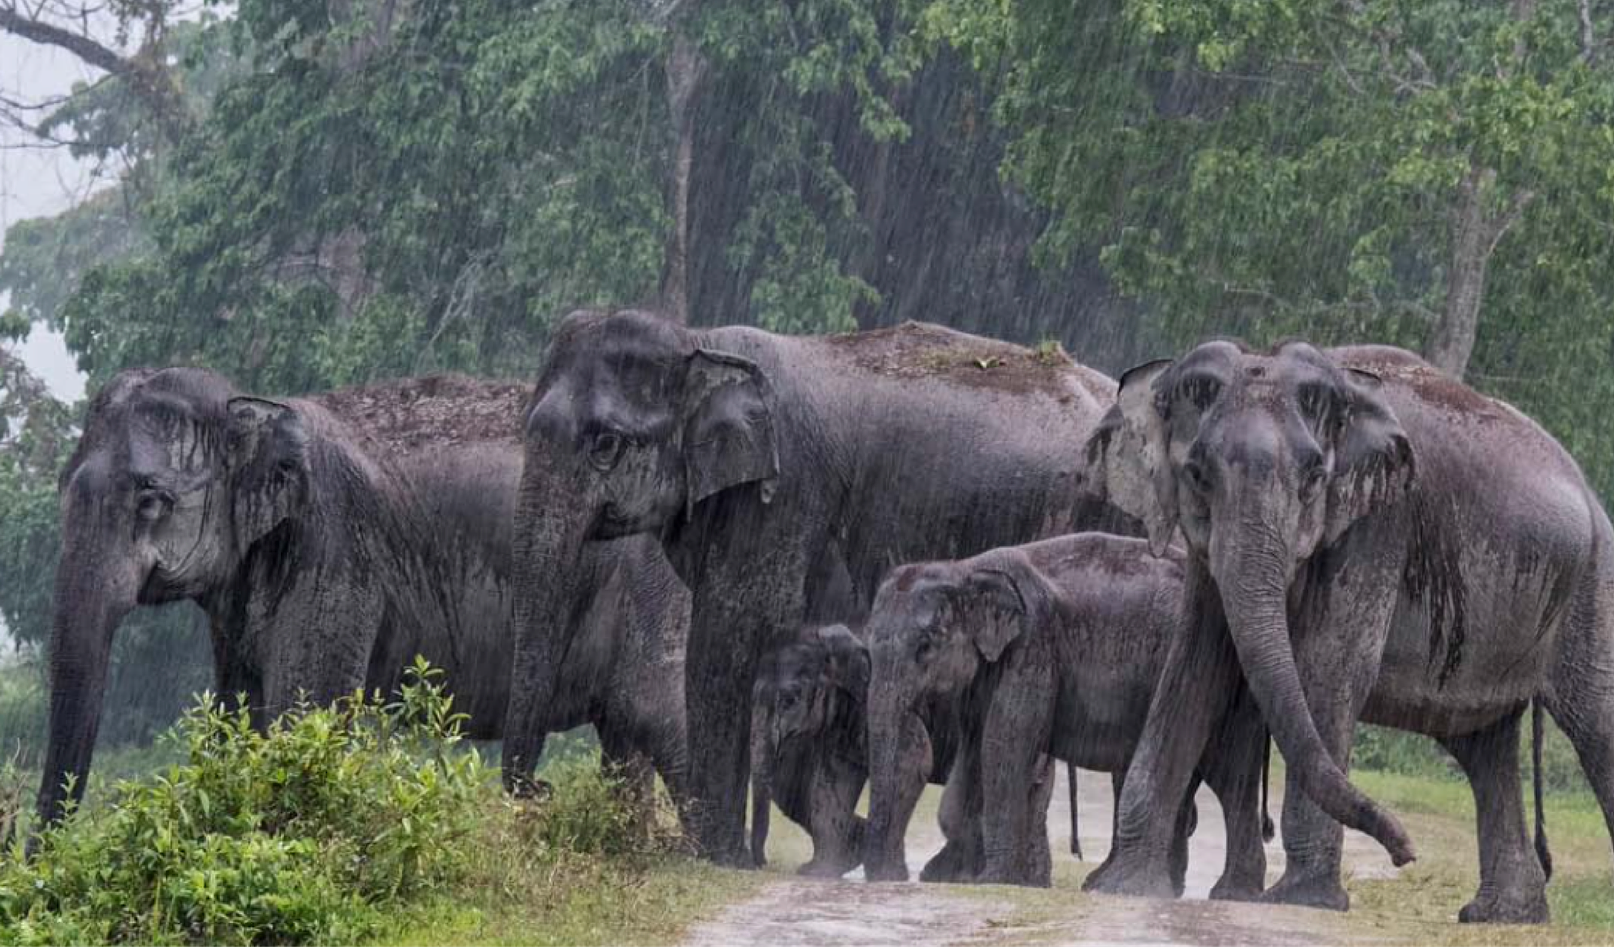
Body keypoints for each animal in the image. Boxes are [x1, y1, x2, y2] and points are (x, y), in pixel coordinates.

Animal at [36, 367, 689, 830]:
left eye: (151, 500)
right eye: (62, 489)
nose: (38, 858)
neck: (257, 406)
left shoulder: (334, 549)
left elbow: (301, 714)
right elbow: (242, 713)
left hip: (654, 580)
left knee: (656, 709)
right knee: (625, 737)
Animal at [509, 308, 1129, 863]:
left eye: (606, 445)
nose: (541, 789)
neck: (701, 342)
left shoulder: (782, 498)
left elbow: (724, 644)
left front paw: (712, 859)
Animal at [863, 531, 1272, 891]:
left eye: (926, 646)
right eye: (867, 647)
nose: (893, 877)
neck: (965, 569)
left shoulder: (1034, 645)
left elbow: (1005, 741)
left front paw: (991, 880)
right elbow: (974, 750)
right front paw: (949, 877)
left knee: (1227, 771)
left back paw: (1224, 891)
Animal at [1084, 340, 1613, 923]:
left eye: (1315, 478)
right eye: (1197, 474)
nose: (1405, 852)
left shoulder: (1379, 524)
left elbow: (1329, 669)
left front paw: (1304, 901)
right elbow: (1193, 672)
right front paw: (1118, 887)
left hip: (1593, 581)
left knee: (1596, 724)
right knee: (1483, 746)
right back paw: (1503, 916)